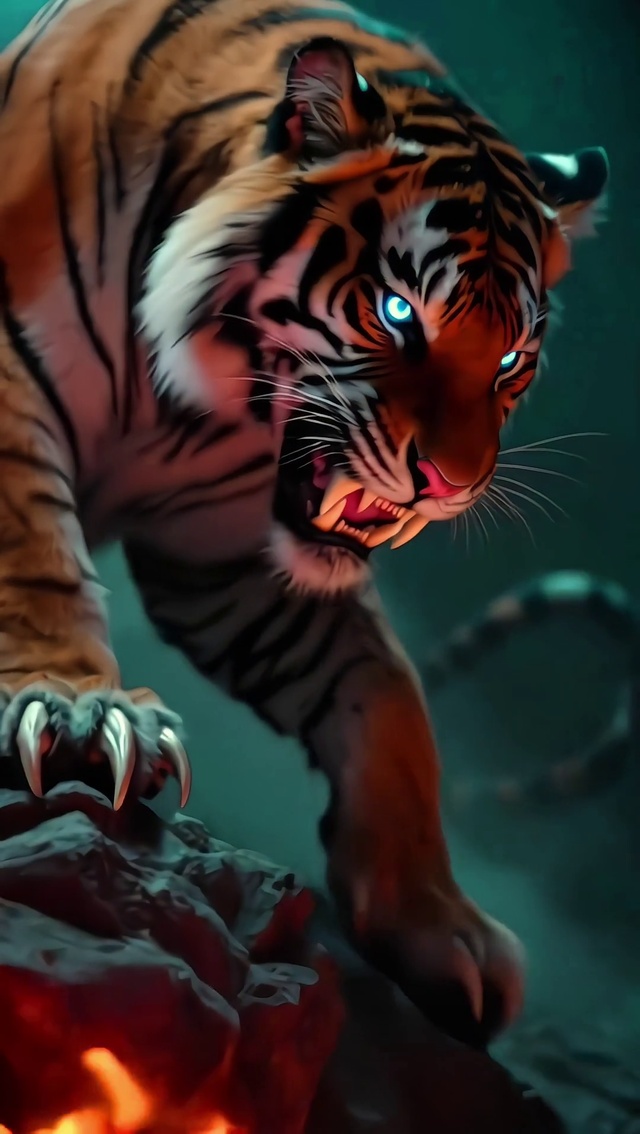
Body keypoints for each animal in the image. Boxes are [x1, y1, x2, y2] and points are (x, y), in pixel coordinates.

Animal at [0, 0, 609, 1048]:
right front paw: (80, 714)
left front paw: (443, 927)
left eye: (511, 360)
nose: (450, 485)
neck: (184, 402)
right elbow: (36, 556)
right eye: (400, 312)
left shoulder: (221, 562)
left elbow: (390, 696)